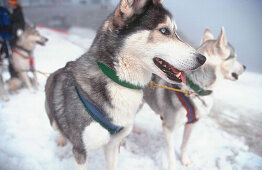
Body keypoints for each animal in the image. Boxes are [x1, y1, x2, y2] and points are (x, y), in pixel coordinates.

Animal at [143, 27, 246, 169]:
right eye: (234, 57)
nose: (245, 67)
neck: (194, 87)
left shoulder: (191, 125)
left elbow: (184, 145)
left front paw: (185, 160)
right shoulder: (168, 128)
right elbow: (171, 155)